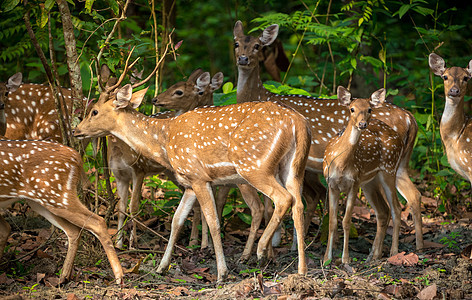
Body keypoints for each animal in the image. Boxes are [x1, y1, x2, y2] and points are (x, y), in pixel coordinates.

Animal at [0, 138, 123, 284]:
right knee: (74, 230)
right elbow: (5, 229)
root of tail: (77, 157)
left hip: (55, 194)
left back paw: (119, 277)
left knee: (98, 221)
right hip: (43, 201)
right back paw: (64, 277)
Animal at [73, 55, 310, 282]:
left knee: (283, 199)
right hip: (293, 167)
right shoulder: (188, 182)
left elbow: (213, 222)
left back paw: (260, 252)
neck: (164, 141)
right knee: (299, 205)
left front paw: (222, 273)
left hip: (254, 165)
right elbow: (176, 221)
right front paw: (161, 267)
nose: (76, 131)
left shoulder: (198, 176)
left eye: (94, 112)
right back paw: (301, 270)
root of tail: (298, 123)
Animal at [324, 86, 402, 262]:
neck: (341, 164)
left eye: (369, 109)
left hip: (389, 169)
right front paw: (326, 259)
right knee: (383, 211)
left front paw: (345, 259)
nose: (362, 124)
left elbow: (346, 221)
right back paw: (374, 255)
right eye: (352, 109)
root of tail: (398, 137)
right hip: (369, 182)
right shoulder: (331, 184)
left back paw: (393, 252)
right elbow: (332, 222)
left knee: (396, 208)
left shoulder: (354, 183)